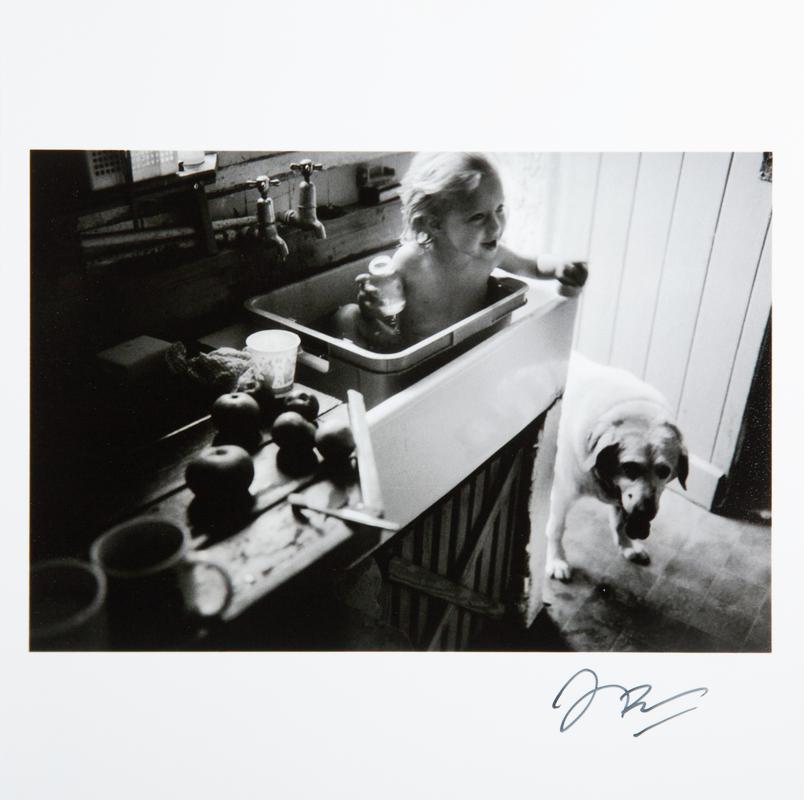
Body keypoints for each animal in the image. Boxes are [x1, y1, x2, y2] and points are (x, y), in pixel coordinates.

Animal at [545, 353, 688, 581]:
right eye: (629, 468)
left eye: (664, 471)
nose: (645, 512)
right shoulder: (562, 492)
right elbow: (556, 528)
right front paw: (557, 560)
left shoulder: (624, 500)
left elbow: (620, 522)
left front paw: (627, 546)